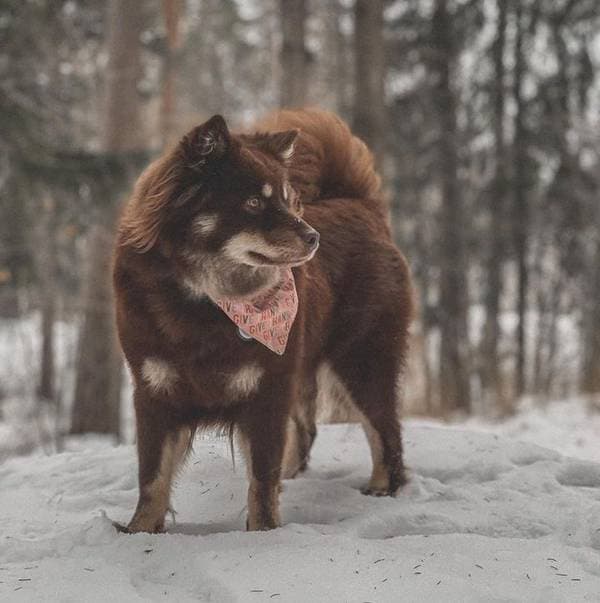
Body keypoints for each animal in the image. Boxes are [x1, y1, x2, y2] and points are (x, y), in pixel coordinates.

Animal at [111, 108, 412, 532]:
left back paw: (384, 489)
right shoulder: (155, 391)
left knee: (385, 431)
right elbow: (152, 478)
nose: (313, 237)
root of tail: (360, 206)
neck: (203, 301)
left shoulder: (267, 390)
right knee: (308, 430)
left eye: (287, 200)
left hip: (360, 362)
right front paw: (139, 532)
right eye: (253, 202)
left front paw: (264, 534)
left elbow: (260, 479)